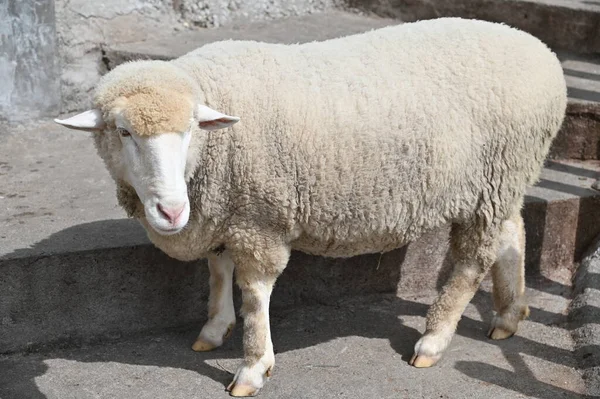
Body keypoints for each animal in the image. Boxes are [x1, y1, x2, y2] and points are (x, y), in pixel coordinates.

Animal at [54, 18, 564, 396]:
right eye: (123, 132)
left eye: (189, 131)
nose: (173, 212)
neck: (216, 147)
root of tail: (541, 50)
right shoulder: (226, 211)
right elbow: (217, 272)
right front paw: (214, 329)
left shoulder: (258, 217)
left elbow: (255, 292)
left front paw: (253, 366)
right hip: (501, 181)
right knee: (513, 231)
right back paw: (509, 314)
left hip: (494, 179)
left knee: (472, 262)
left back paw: (434, 341)